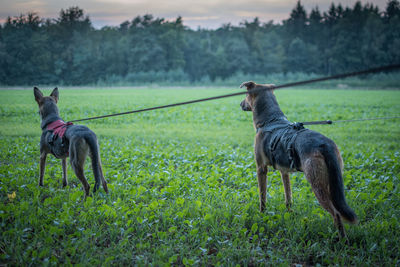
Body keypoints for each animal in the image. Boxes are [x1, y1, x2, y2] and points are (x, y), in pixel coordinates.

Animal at [239, 81, 358, 239]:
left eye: (246, 94)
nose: (240, 104)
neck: (271, 120)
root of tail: (324, 145)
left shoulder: (261, 169)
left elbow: (262, 197)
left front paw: (262, 215)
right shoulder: (284, 171)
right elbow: (288, 196)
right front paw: (290, 213)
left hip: (317, 184)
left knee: (336, 213)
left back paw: (342, 239)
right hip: (332, 182)